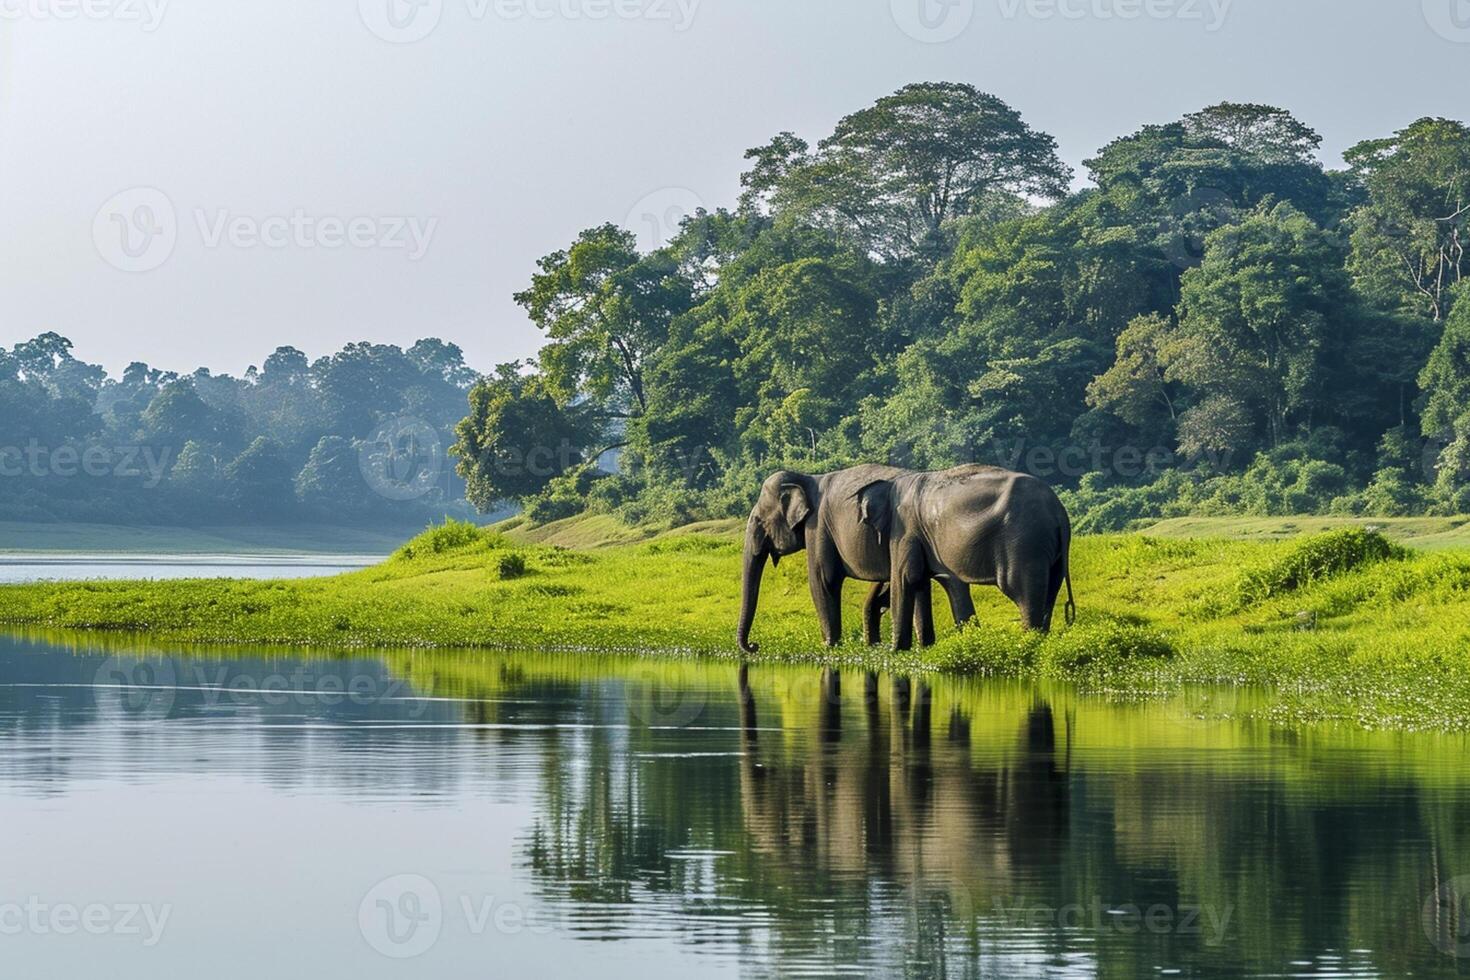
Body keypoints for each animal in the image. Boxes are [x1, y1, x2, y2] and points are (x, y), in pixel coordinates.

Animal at [740, 467, 1076, 655]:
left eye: (758, 519)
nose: (754, 647)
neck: (808, 478)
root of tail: (1060, 514)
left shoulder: (826, 527)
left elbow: (826, 579)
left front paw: (844, 648)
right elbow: (918, 582)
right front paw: (923, 646)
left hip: (1025, 544)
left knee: (1024, 592)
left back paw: (1027, 643)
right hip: (1050, 554)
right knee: (1047, 594)